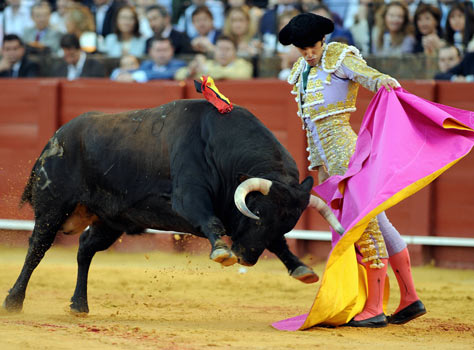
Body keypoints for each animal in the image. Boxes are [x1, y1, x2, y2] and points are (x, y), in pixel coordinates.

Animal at [4, 99, 344, 314]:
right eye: (258, 216)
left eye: (287, 223)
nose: (246, 258)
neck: (221, 148)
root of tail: (55, 137)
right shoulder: (188, 197)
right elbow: (210, 220)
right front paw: (222, 252)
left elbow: (280, 244)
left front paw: (301, 268)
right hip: (53, 208)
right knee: (37, 247)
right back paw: (13, 301)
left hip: (111, 220)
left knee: (85, 247)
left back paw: (78, 304)